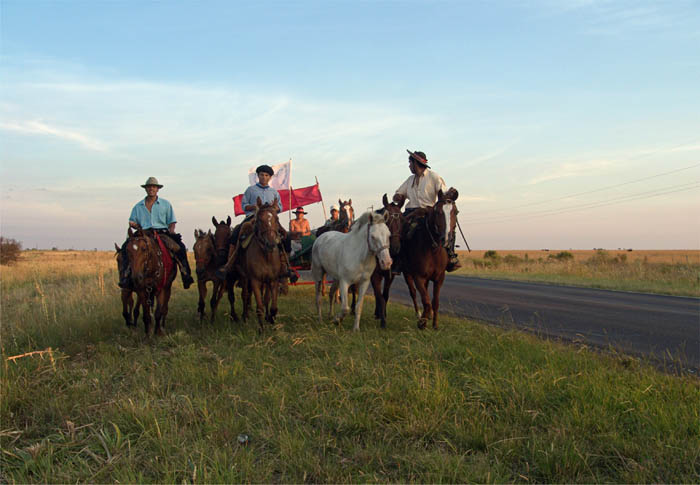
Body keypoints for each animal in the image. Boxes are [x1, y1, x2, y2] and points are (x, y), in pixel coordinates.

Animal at [237, 199, 284, 330]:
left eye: (277, 218)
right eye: (259, 220)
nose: (271, 244)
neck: (266, 256)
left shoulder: (273, 280)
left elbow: (272, 305)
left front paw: (271, 318)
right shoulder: (255, 281)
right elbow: (259, 307)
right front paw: (261, 329)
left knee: (264, 298)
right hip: (244, 277)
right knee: (245, 295)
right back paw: (244, 317)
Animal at [370, 195, 408, 328]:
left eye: (402, 220)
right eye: (387, 221)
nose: (396, 248)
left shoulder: (389, 276)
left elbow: (385, 296)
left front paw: (383, 315)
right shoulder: (374, 276)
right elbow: (379, 296)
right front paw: (382, 321)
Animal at [400, 188, 460, 328]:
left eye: (455, 212)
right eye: (437, 212)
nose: (446, 239)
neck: (433, 250)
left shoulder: (439, 278)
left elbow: (435, 301)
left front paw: (435, 324)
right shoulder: (418, 277)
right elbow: (426, 300)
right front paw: (423, 320)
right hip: (407, 273)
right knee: (413, 292)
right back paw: (418, 314)